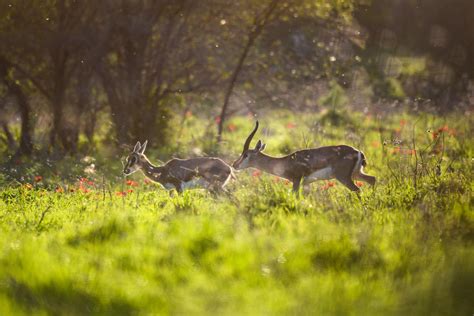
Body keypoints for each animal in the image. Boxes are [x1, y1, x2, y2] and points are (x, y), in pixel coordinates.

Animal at [231, 121, 376, 194]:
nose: (234, 165)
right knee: (372, 179)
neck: (285, 162)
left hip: (343, 177)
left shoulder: (296, 180)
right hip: (356, 174)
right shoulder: (304, 184)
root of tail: (358, 152)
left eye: (246, 154)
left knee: (358, 190)